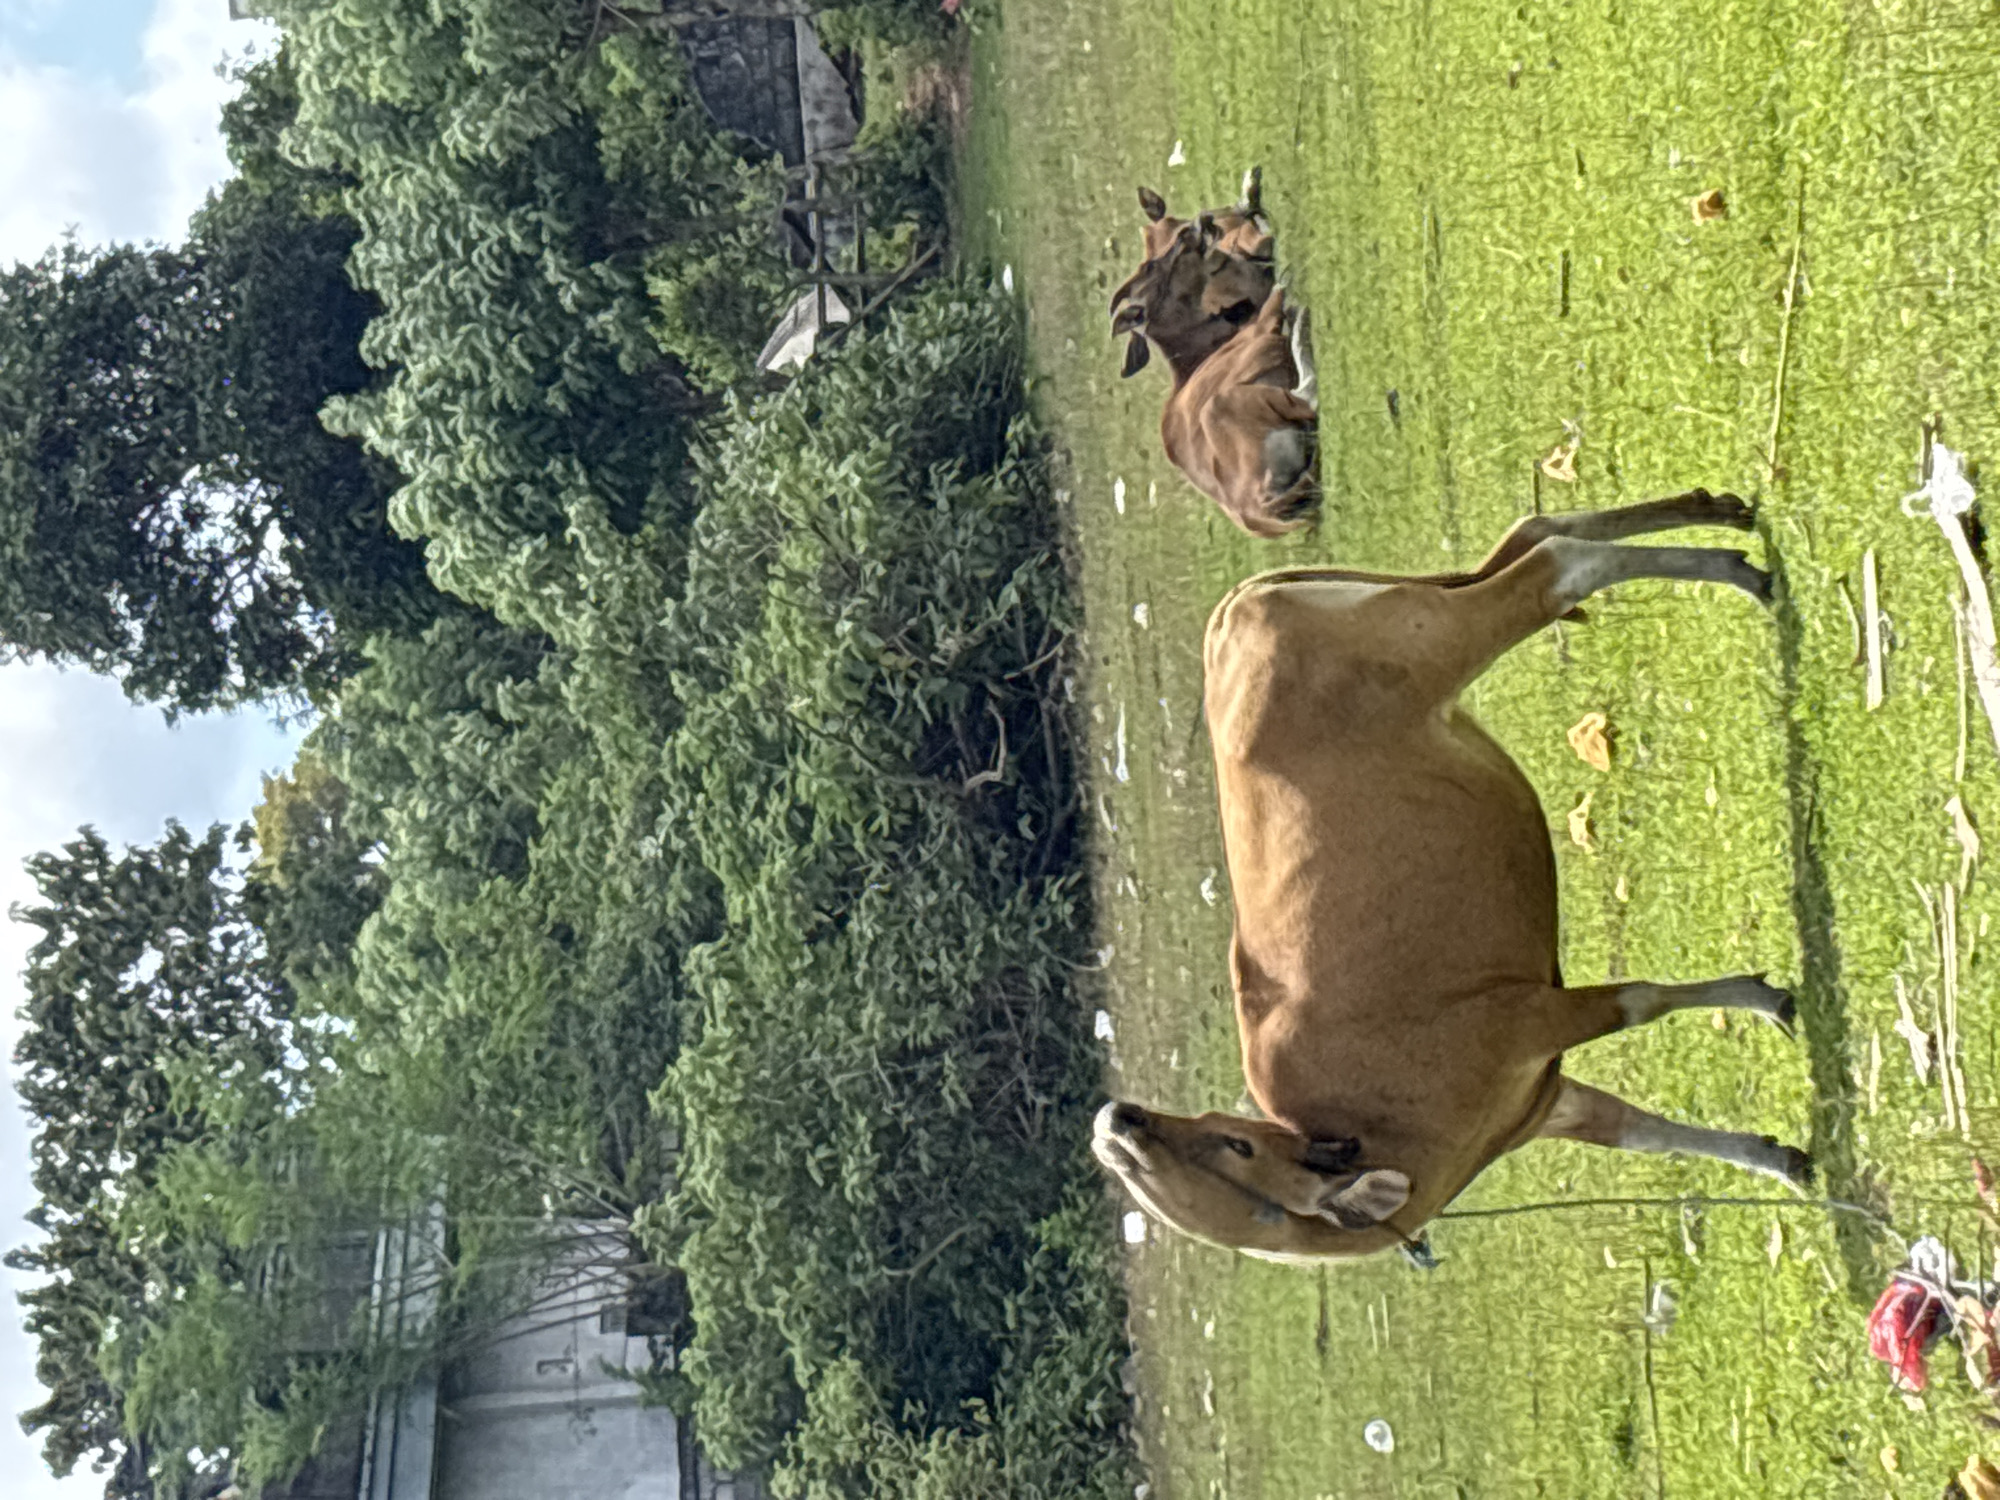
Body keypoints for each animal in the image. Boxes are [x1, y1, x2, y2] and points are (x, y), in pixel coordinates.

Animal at [1093, 491, 1812, 1263]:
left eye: (1234, 1144)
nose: (1119, 1120)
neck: (1396, 1132)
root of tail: (1233, 613)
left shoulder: (1531, 1018)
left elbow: (1641, 1000)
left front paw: (1764, 1000)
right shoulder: (1543, 1099)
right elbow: (1646, 1133)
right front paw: (1779, 1159)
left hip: (1439, 635)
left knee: (1554, 566)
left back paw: (1737, 570)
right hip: (1424, 607)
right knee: (1533, 534)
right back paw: (1725, 521)